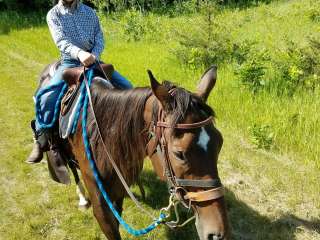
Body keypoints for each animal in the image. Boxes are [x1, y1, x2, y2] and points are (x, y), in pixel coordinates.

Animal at [36, 63, 229, 240]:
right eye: (179, 154)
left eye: (219, 144)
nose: (218, 233)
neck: (101, 135)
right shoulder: (101, 207)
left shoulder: (118, 191)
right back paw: (82, 199)